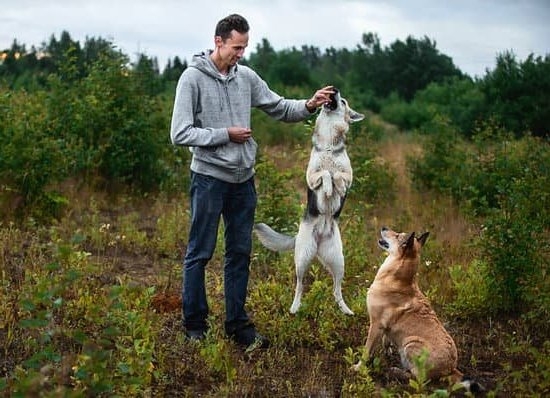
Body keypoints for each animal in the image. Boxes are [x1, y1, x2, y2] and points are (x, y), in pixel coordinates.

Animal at [256, 88, 366, 316]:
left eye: (342, 101)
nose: (334, 89)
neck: (329, 145)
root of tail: (319, 239)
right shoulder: (312, 177)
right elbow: (325, 173)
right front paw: (329, 188)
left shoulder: (349, 176)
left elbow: (338, 175)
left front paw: (338, 188)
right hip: (302, 260)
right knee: (300, 285)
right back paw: (295, 307)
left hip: (339, 262)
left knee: (336, 289)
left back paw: (345, 309)